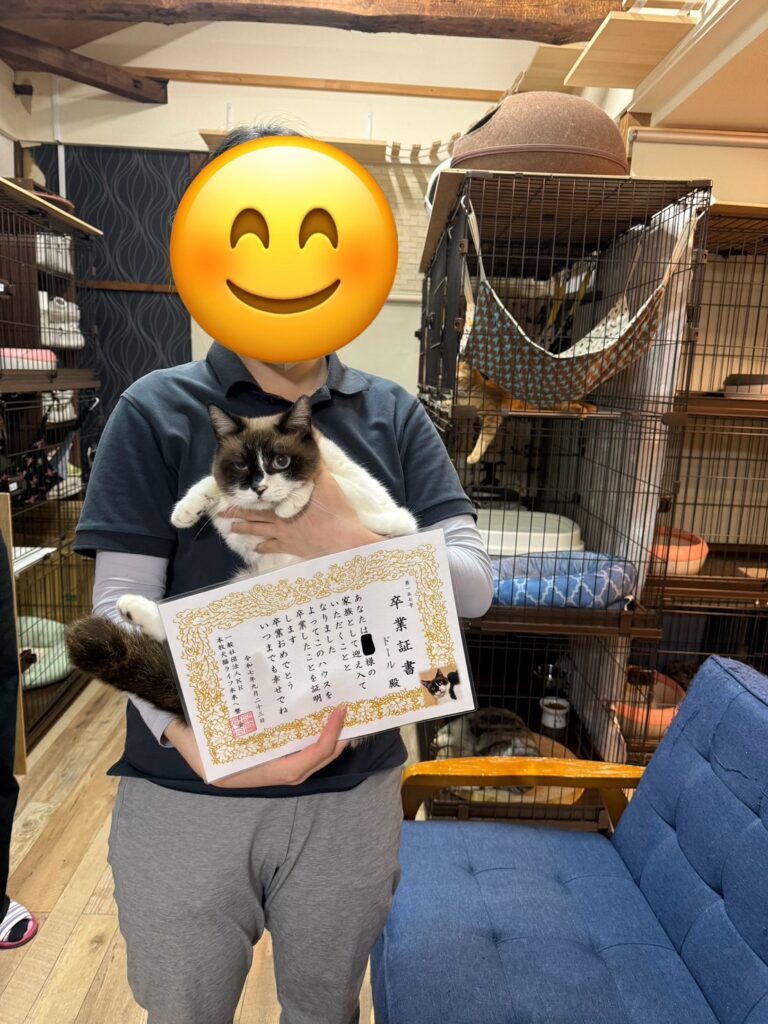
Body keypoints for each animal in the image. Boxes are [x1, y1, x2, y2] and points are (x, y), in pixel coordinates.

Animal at [66, 396, 417, 719]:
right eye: (241, 466)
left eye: (281, 461)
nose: (259, 488)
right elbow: (214, 485)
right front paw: (186, 512)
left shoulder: (391, 518)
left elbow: (322, 481)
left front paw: (291, 502)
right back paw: (135, 609)